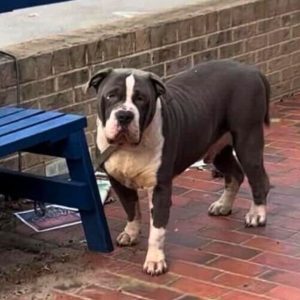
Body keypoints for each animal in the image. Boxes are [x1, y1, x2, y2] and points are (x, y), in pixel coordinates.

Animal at [85, 60, 270, 276]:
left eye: (141, 98)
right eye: (111, 95)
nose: (124, 115)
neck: (128, 147)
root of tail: (251, 69)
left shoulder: (160, 188)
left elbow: (157, 230)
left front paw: (155, 261)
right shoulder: (118, 182)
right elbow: (131, 209)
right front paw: (131, 233)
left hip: (247, 141)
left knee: (258, 179)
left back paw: (256, 214)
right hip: (218, 149)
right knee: (235, 174)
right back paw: (223, 205)